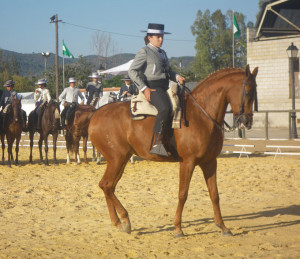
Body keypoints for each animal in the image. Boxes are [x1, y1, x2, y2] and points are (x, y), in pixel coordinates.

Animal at [88, 64, 258, 238]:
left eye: (255, 91)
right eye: (247, 91)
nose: (247, 121)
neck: (201, 115)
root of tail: (96, 114)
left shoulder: (210, 162)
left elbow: (214, 194)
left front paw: (222, 226)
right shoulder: (187, 162)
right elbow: (183, 194)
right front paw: (178, 228)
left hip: (120, 160)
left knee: (109, 186)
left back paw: (117, 222)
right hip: (117, 159)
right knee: (106, 185)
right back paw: (124, 220)